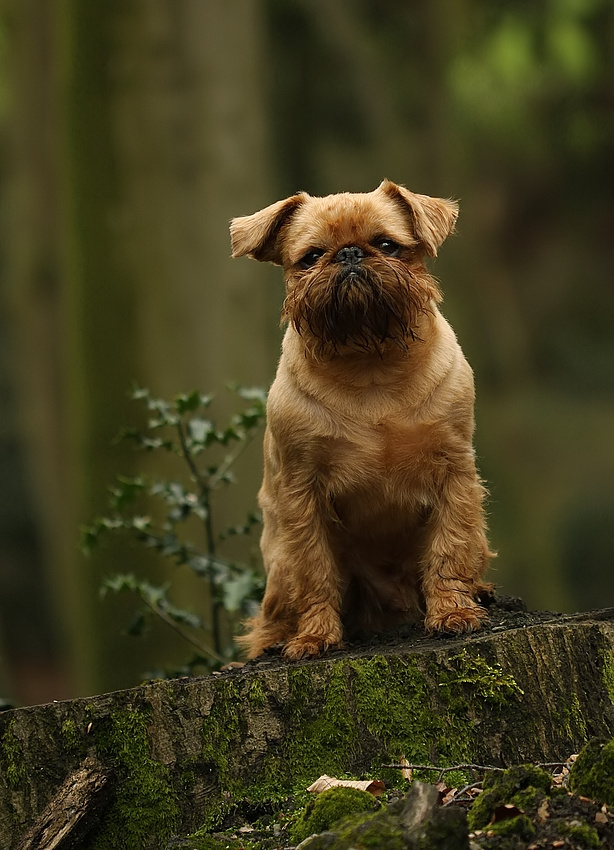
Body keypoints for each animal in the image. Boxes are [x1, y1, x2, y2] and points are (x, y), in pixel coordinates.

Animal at [231, 177, 496, 656]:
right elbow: (315, 571)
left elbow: (449, 547)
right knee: (275, 613)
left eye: (387, 245)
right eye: (311, 256)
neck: (369, 364)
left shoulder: (454, 475)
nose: (350, 253)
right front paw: (315, 637)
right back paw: (274, 644)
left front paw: (453, 612)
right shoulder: (302, 494)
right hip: (278, 568)